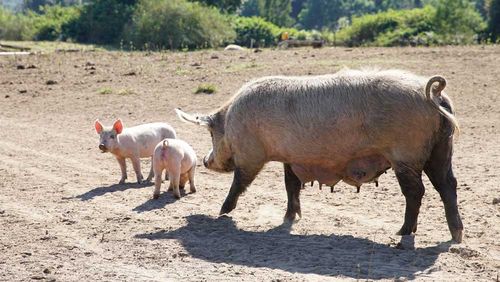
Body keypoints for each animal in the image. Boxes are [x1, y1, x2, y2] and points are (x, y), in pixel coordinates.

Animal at [177, 69, 464, 242]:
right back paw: (456, 235)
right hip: (440, 149)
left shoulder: (251, 155)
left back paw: (401, 233)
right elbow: (291, 185)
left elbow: (240, 182)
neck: (232, 121)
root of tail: (435, 95)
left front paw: (221, 211)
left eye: (211, 133)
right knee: (448, 185)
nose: (205, 160)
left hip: (406, 155)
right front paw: (290, 218)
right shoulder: (291, 158)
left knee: (416, 192)